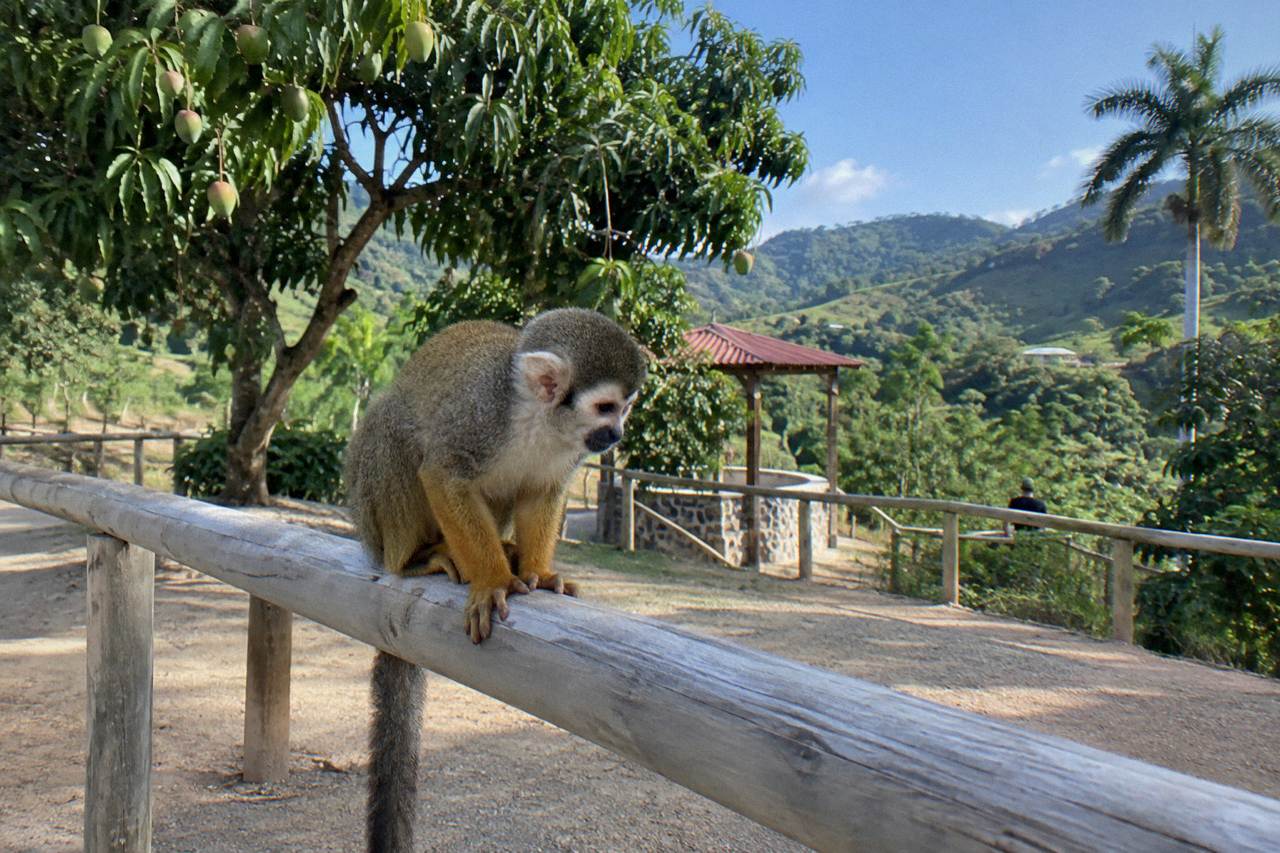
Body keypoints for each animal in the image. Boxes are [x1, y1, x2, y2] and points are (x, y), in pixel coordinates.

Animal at [344, 307, 647, 853]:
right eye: (605, 407)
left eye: (626, 408)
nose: (615, 435)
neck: (541, 419)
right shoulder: (480, 417)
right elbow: (443, 473)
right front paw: (491, 582)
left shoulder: (565, 453)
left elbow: (541, 492)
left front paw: (537, 574)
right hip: (370, 512)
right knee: (398, 430)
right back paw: (417, 558)